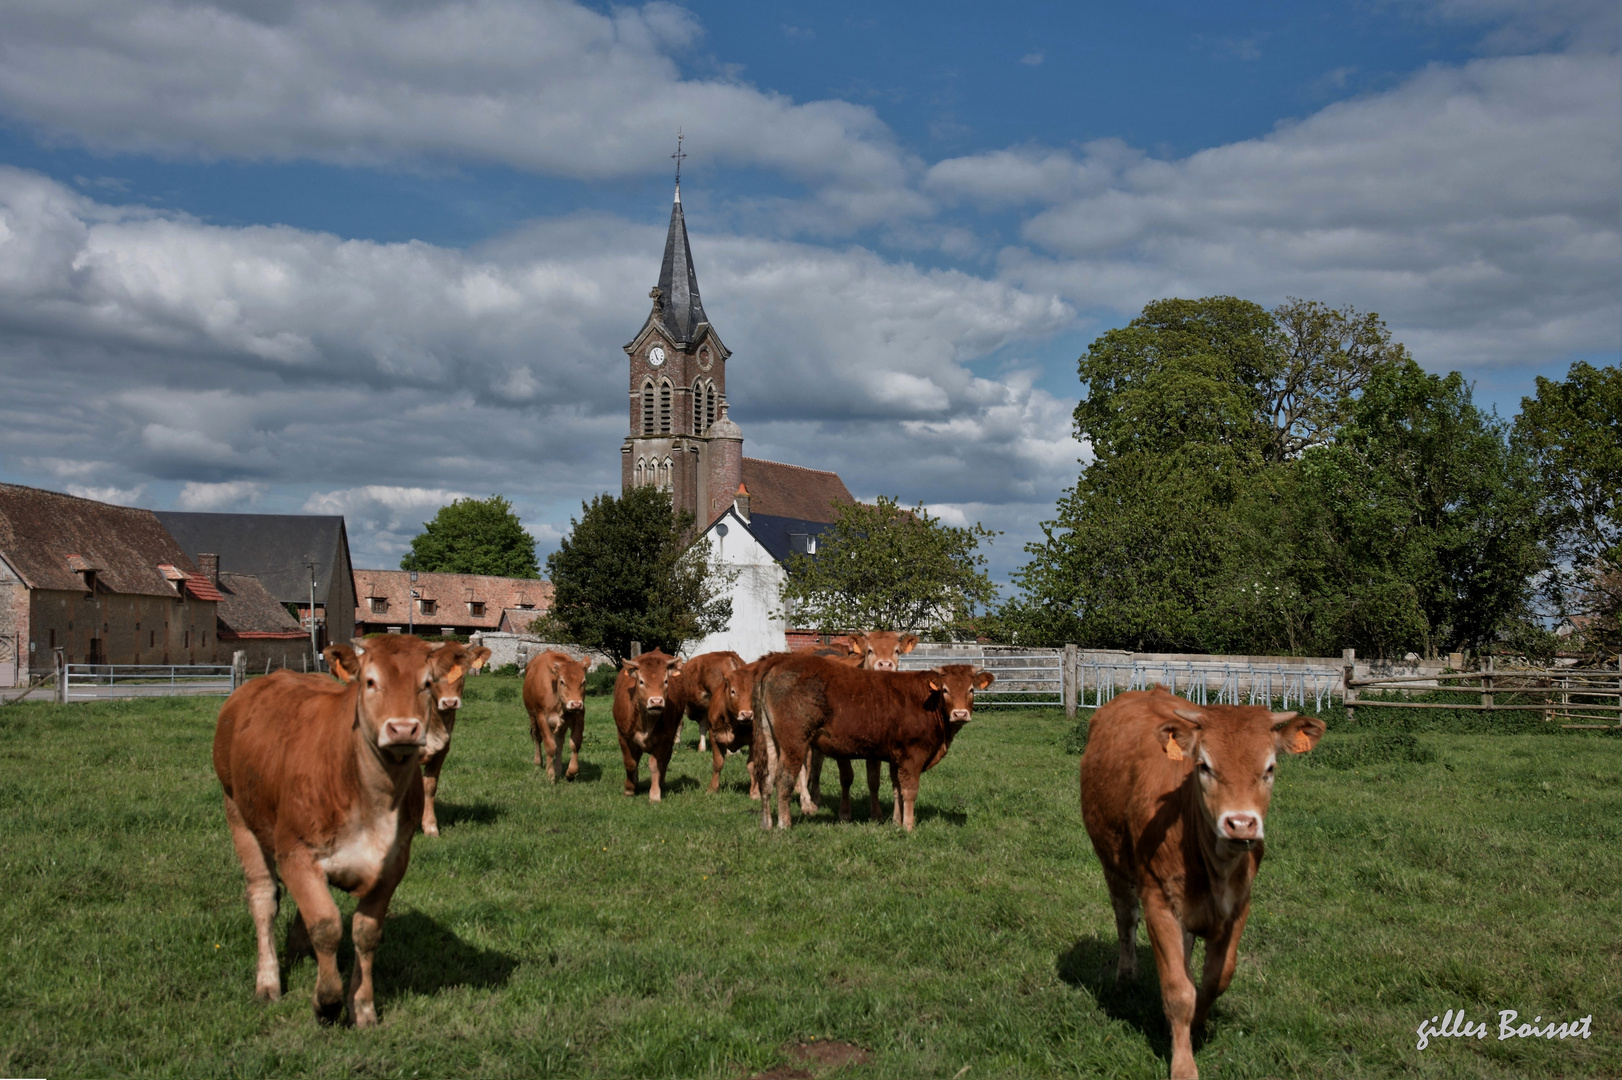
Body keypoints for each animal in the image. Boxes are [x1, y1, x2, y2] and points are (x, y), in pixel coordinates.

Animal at [209, 635, 463, 1024]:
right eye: (370, 682)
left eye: (426, 683)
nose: (403, 729)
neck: (371, 799)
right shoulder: (295, 853)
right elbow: (327, 925)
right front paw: (327, 1002)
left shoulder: (393, 865)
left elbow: (365, 933)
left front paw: (363, 1007)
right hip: (237, 811)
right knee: (264, 897)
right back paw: (268, 982)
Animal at [525, 648, 590, 781]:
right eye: (562, 681)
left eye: (583, 681)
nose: (575, 704)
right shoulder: (542, 717)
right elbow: (550, 746)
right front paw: (550, 775)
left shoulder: (579, 716)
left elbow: (575, 743)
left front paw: (571, 772)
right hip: (532, 716)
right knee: (537, 736)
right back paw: (538, 762)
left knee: (559, 745)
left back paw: (558, 770)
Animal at [609, 648, 684, 797]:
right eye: (641, 681)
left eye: (665, 681)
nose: (656, 701)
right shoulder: (623, 736)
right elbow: (630, 763)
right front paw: (629, 789)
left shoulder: (665, 738)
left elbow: (656, 764)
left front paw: (655, 793)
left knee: (665, 759)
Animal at [755, 648, 986, 830]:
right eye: (945, 689)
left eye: (971, 689)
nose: (960, 714)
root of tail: (780, 660)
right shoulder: (912, 754)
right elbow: (909, 790)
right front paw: (909, 826)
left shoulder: (896, 757)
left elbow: (896, 789)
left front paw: (896, 822)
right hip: (794, 742)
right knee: (783, 777)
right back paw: (784, 824)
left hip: (771, 739)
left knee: (767, 777)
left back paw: (767, 823)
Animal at [1083, 684, 1323, 1070]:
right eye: (1205, 766)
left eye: (1270, 768)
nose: (1241, 824)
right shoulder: (1158, 900)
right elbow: (1177, 990)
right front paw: (1183, 1065)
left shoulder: (1239, 905)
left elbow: (1217, 977)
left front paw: (1196, 1023)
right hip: (1111, 860)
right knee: (1125, 918)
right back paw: (1126, 973)